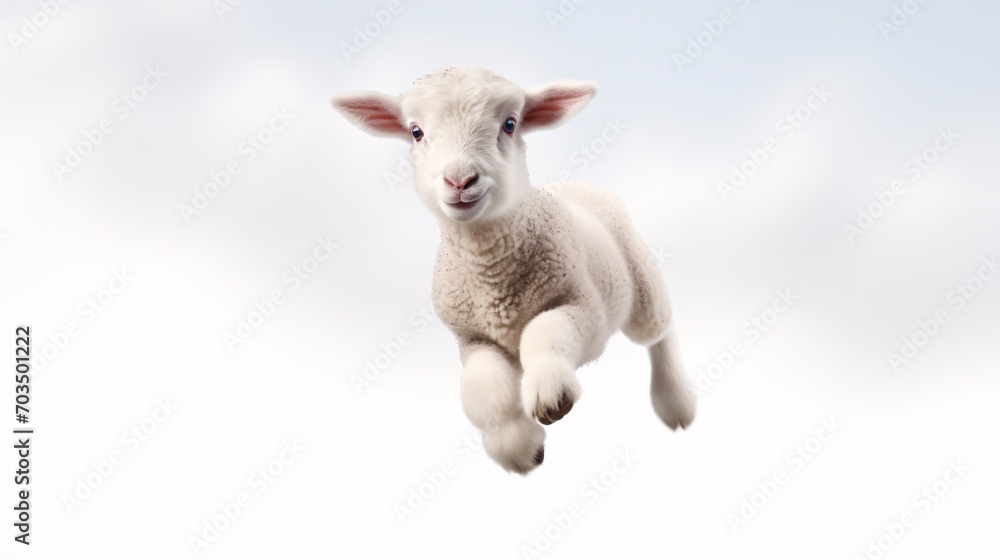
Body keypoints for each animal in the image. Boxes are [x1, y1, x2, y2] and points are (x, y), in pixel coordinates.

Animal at [331, 65, 695, 474]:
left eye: (509, 124)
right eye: (416, 131)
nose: (459, 180)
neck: (490, 273)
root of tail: (578, 184)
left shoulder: (583, 306)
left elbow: (545, 331)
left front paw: (551, 393)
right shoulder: (473, 339)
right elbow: (483, 387)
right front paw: (518, 446)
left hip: (638, 276)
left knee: (660, 330)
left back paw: (675, 401)